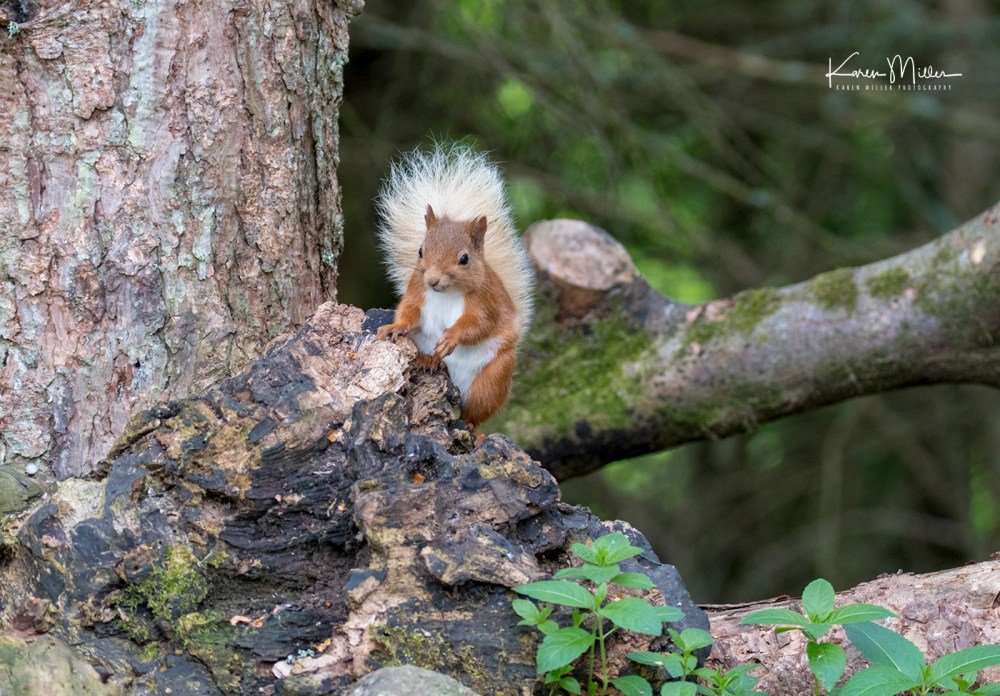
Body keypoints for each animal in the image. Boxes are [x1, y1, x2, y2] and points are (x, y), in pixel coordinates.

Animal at [374, 145, 534, 439]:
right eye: (420, 250)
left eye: (464, 259)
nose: (433, 280)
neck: (445, 294)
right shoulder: (417, 292)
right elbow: (408, 312)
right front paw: (395, 327)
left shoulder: (486, 301)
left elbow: (479, 325)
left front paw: (451, 338)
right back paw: (428, 359)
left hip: (492, 380)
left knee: (473, 415)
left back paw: (475, 432)